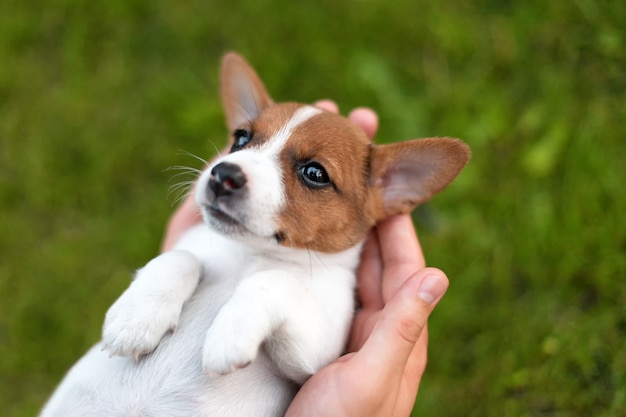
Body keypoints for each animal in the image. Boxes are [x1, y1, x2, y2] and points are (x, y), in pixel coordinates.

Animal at [40, 52, 468, 416]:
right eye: (241, 139)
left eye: (315, 173)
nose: (223, 175)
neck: (249, 254)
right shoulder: (192, 248)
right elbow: (181, 256)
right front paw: (136, 319)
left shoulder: (314, 354)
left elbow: (272, 281)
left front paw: (229, 332)